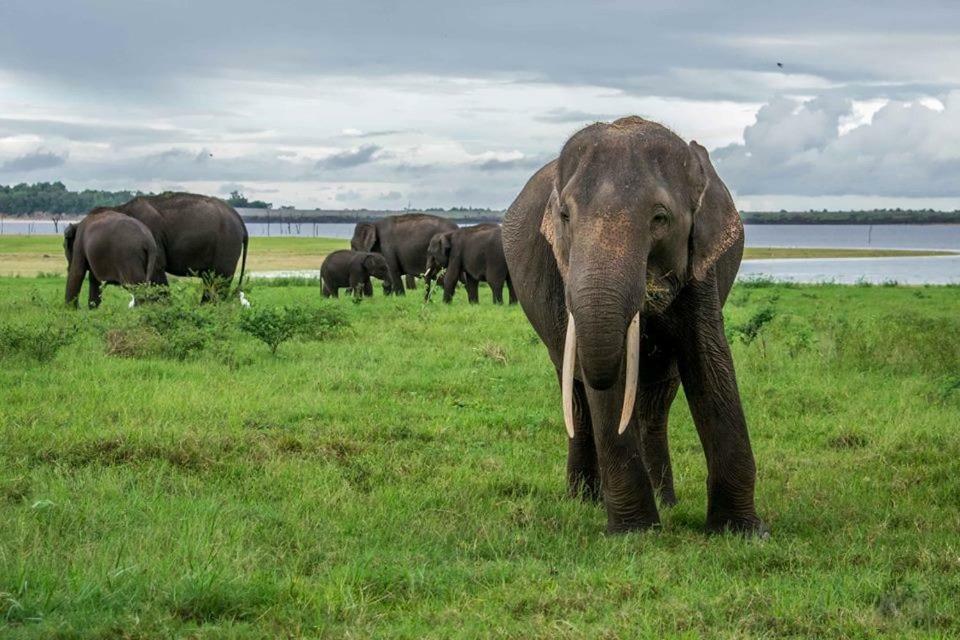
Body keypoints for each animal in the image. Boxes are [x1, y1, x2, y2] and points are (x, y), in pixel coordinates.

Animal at [108, 192, 248, 300]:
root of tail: (238, 217)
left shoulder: (152, 236)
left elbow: (157, 268)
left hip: (227, 244)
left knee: (220, 280)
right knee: (210, 280)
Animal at [502, 117, 764, 536]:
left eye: (660, 218)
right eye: (565, 217)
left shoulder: (700, 266)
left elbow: (709, 359)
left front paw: (740, 531)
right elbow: (606, 381)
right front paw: (635, 532)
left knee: (654, 402)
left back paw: (666, 500)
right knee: (577, 398)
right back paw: (584, 499)